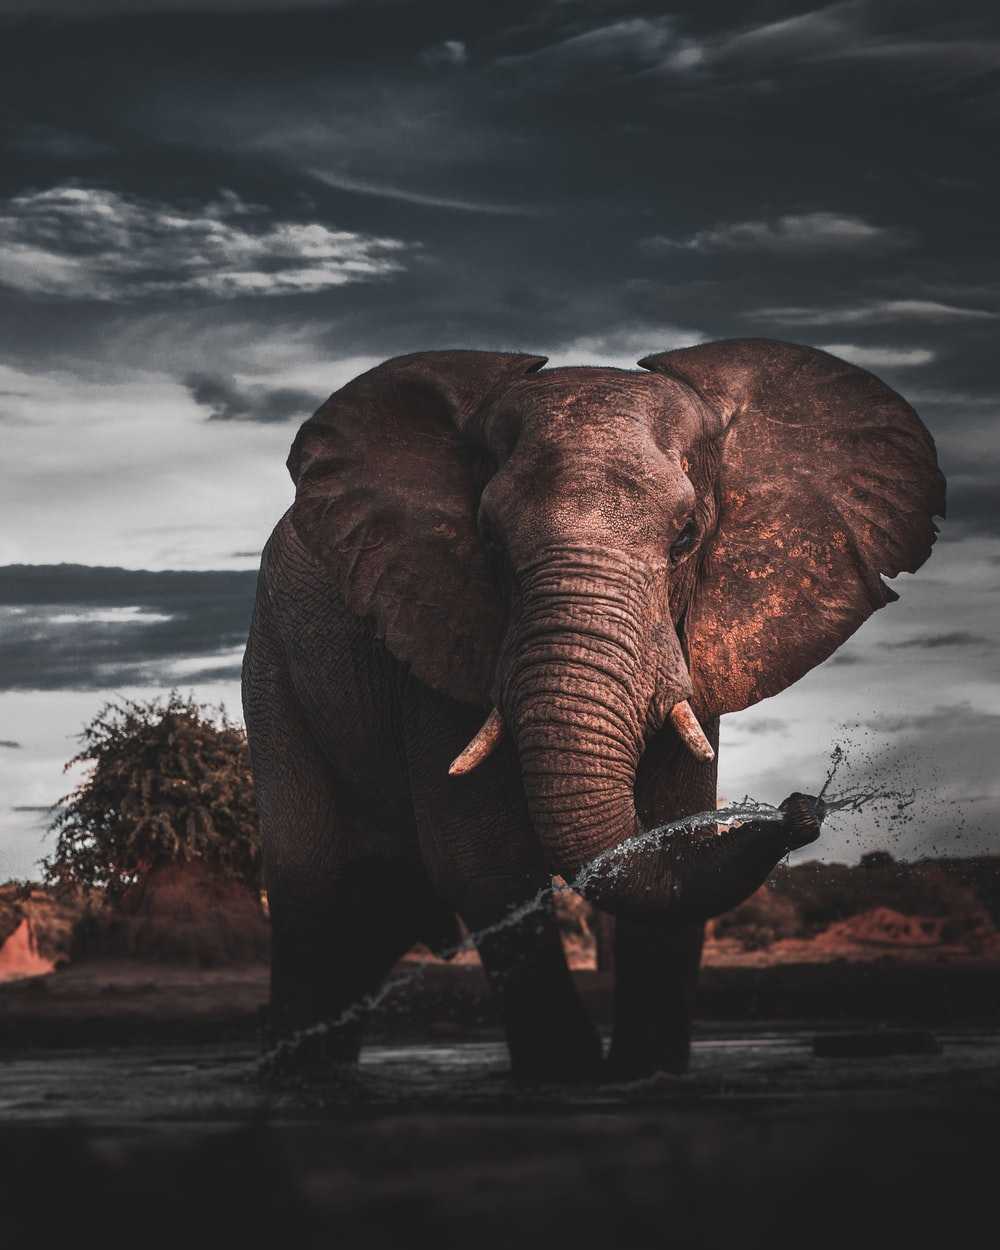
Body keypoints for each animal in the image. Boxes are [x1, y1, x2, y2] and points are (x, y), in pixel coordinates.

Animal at [242, 339, 944, 1080]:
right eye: (488, 541)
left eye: (686, 538)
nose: (802, 808)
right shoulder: (433, 632)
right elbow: (483, 859)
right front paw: (568, 1077)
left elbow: (669, 827)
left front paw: (646, 1073)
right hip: (274, 668)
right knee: (311, 894)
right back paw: (294, 1079)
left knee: (377, 913)